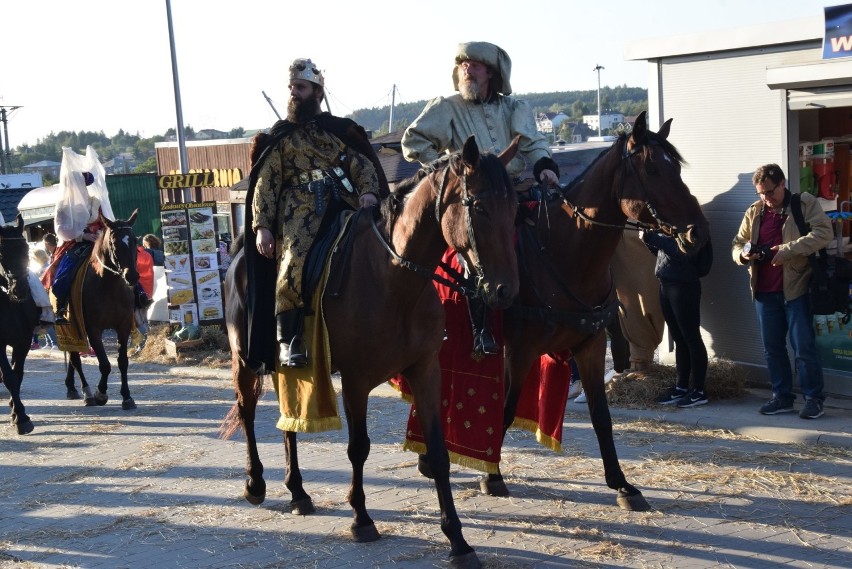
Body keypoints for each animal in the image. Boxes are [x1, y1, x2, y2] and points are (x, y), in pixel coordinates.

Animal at [62, 209, 141, 408]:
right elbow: (105, 364)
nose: (132, 276)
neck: (108, 285)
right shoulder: (93, 329)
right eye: (113, 242)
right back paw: (86, 392)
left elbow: (122, 361)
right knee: (75, 358)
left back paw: (71, 387)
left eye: (134, 240)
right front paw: (101, 393)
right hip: (70, 326)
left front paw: (127, 397)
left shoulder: (123, 326)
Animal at [221, 135, 520, 564]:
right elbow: (358, 448)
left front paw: (458, 540)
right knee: (247, 411)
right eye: (478, 206)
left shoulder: (426, 371)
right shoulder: (357, 380)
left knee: (288, 421)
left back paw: (298, 491)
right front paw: (361, 519)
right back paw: (255, 483)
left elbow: (439, 454)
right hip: (244, 358)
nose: (504, 291)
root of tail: (240, 255)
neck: (394, 278)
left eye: (514, 208)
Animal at [490, 108, 708, 508]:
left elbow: (601, 416)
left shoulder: (589, 347)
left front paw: (622, 484)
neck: (562, 253)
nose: (697, 232)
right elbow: (506, 410)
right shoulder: (519, 351)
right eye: (652, 168)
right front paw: (490, 474)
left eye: (677, 167)